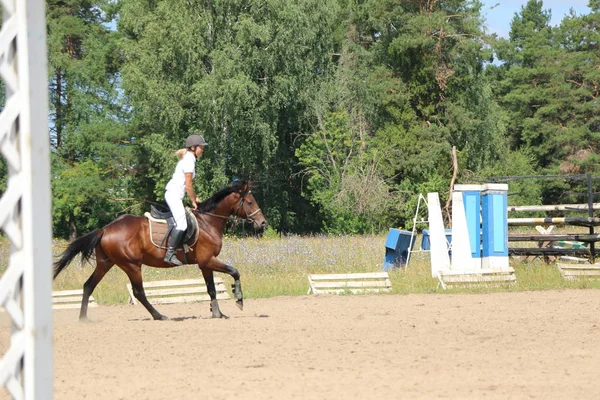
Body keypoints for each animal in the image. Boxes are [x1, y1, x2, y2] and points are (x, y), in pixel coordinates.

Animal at [53, 180, 264, 320]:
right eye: (250, 202)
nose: (262, 223)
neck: (208, 222)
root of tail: (105, 229)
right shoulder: (208, 260)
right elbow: (234, 271)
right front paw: (238, 299)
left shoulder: (205, 264)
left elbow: (211, 289)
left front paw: (218, 313)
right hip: (131, 265)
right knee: (138, 292)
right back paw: (159, 316)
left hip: (106, 263)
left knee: (89, 285)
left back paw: (83, 319)